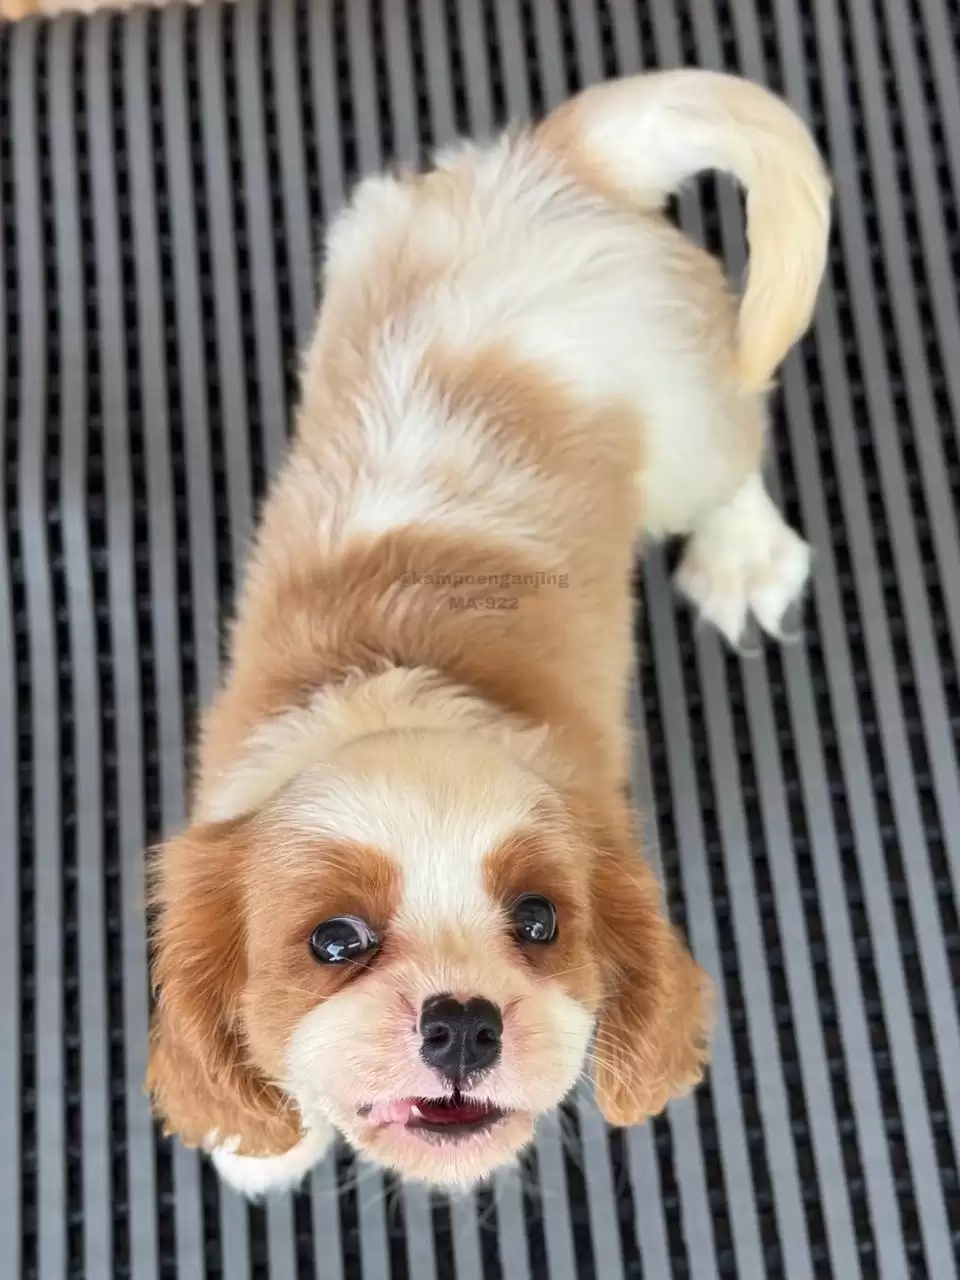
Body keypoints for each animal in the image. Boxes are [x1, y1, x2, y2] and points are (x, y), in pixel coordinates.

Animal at [146, 70, 830, 1196]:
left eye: (539, 920)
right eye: (334, 939)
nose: (462, 1021)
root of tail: (555, 163)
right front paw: (264, 1142)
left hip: (687, 418)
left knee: (733, 452)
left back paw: (744, 556)